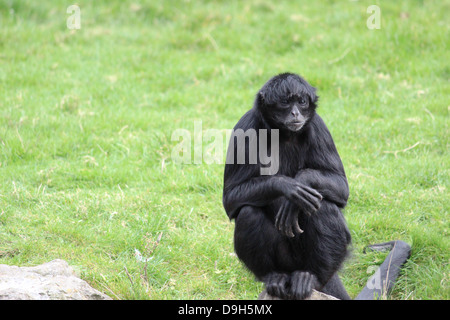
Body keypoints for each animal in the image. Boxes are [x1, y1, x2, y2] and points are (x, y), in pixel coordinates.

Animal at [223, 72, 354, 300]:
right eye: (285, 102)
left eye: (301, 102)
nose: (295, 112)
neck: (283, 134)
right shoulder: (245, 127)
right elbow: (230, 199)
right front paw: (288, 187)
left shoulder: (318, 127)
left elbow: (341, 187)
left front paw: (301, 181)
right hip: (285, 260)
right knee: (248, 212)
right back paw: (274, 277)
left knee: (323, 206)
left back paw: (310, 278)